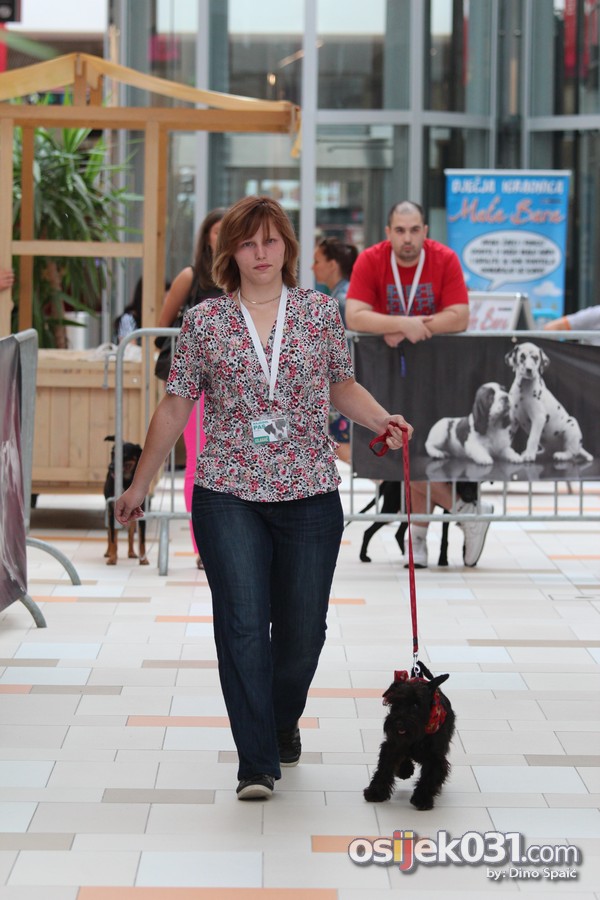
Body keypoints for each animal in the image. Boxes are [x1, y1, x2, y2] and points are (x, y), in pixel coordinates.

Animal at [103, 436, 148, 566]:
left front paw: (144, 560)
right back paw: (108, 552)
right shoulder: (112, 512)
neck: (125, 482)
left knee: (131, 534)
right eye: (112, 454)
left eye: (125, 455)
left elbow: (142, 540)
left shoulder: (142, 516)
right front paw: (113, 558)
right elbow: (113, 538)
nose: (110, 467)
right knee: (110, 533)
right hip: (109, 513)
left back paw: (131, 552)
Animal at [364, 661, 455, 809]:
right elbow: (383, 769)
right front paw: (375, 792)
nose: (399, 722)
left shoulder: (435, 757)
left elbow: (429, 777)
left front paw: (422, 799)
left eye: (416, 705)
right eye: (395, 702)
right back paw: (405, 770)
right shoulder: (393, 745)